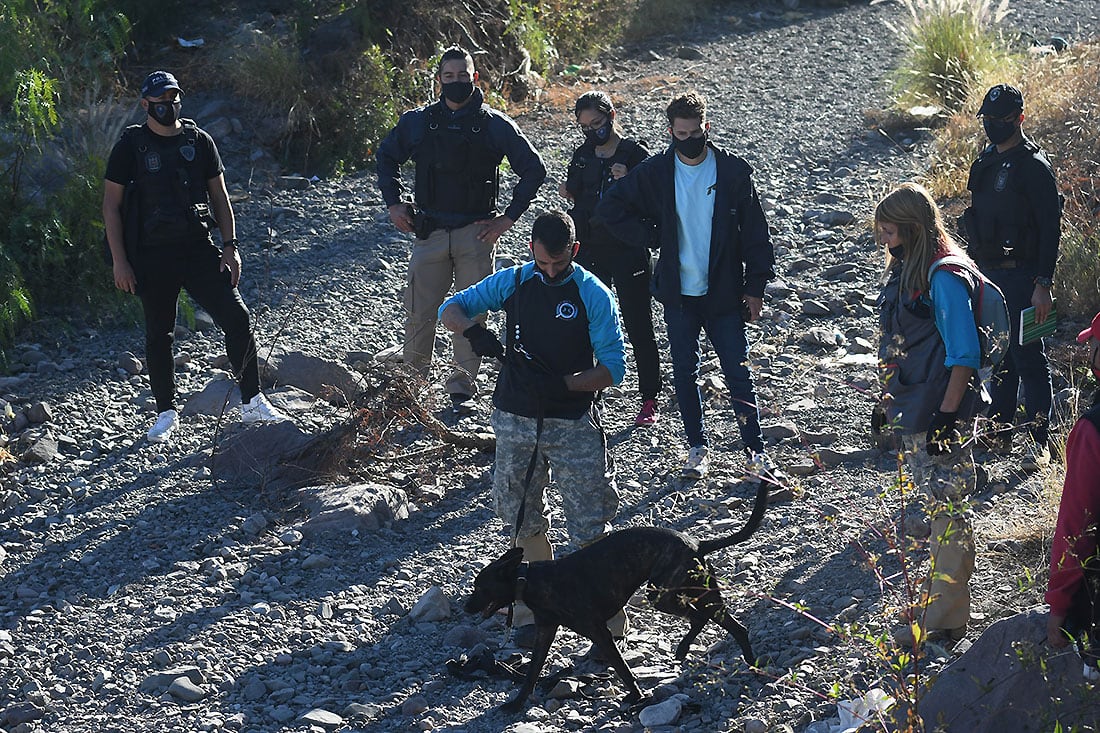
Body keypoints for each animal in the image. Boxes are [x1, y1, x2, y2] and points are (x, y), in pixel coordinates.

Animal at [462, 477, 765, 708]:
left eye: (479, 587)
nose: (466, 608)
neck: (529, 580)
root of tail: (697, 544)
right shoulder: (544, 633)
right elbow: (531, 673)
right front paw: (516, 703)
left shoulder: (600, 633)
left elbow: (622, 669)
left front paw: (636, 696)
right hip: (696, 594)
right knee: (726, 624)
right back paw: (737, 660)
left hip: (664, 595)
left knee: (709, 620)